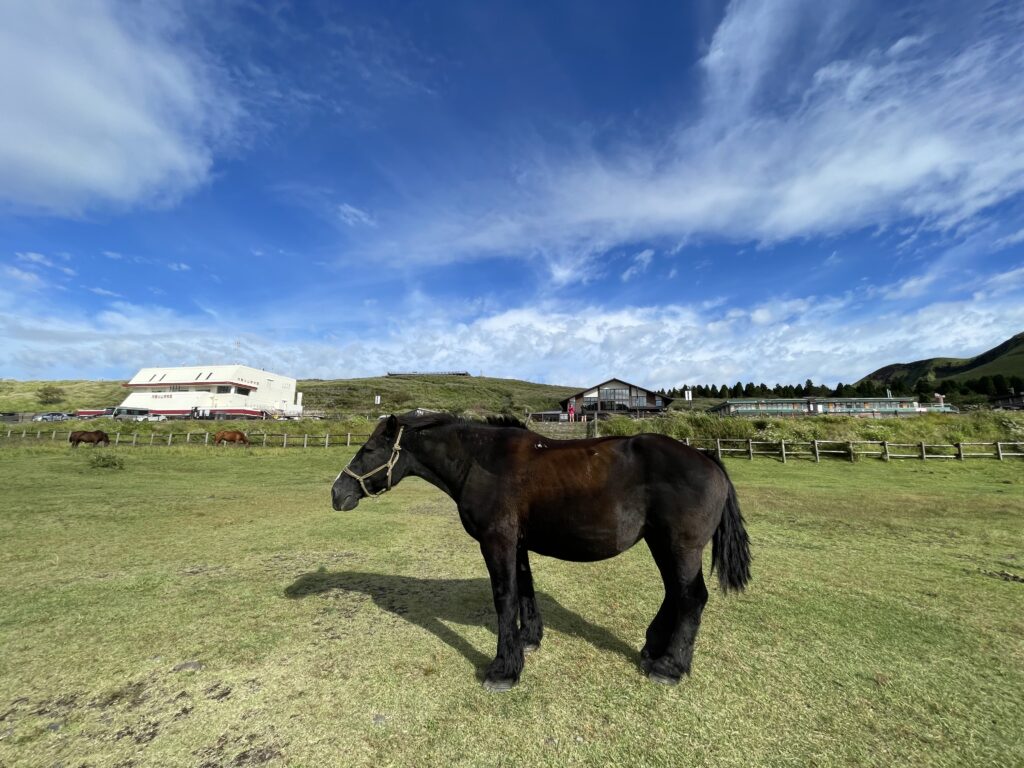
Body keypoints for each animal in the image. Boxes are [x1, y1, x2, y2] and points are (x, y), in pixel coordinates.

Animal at [329, 415, 753, 692]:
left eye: (368, 449)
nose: (337, 493)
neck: (482, 462)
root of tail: (706, 457)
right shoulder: (516, 543)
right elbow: (524, 591)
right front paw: (528, 639)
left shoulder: (497, 541)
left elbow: (504, 598)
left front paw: (503, 670)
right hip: (661, 544)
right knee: (675, 595)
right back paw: (652, 649)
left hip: (680, 547)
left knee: (692, 598)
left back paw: (670, 666)